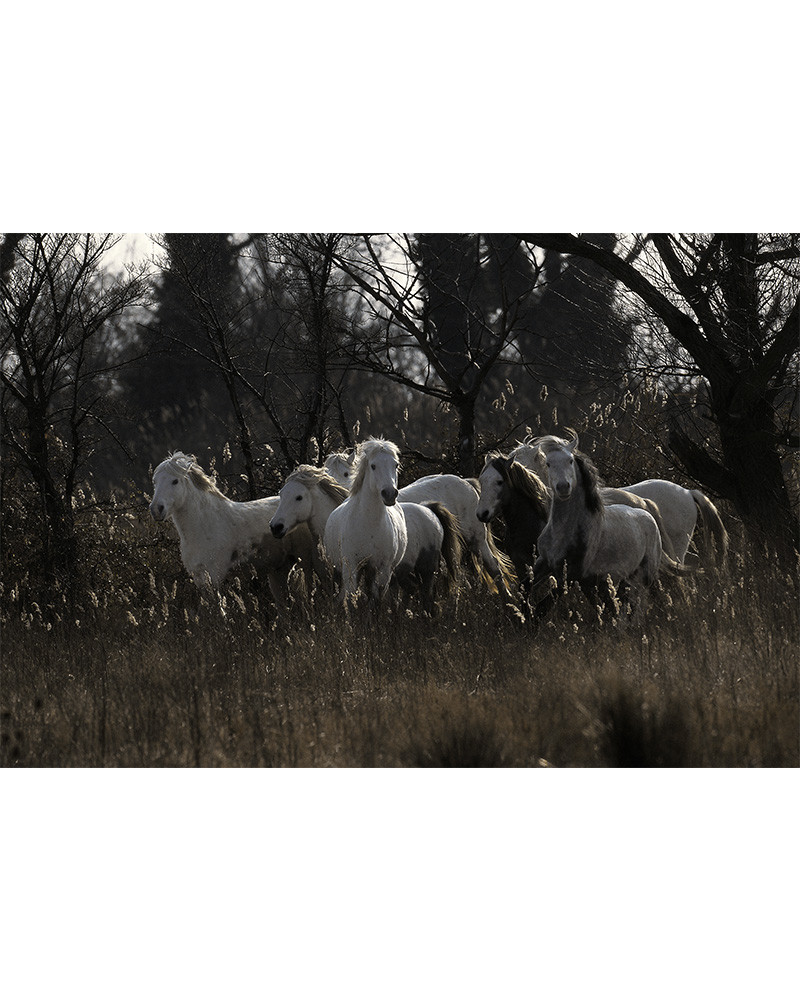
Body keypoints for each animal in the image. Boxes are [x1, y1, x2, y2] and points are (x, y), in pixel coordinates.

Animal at [150, 452, 316, 604]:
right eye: (155, 482)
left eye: (175, 481)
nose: (156, 509)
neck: (204, 526)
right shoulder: (199, 578)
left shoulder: (214, 576)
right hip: (278, 570)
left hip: (305, 561)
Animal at [320, 436, 410, 600]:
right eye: (373, 466)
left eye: (396, 464)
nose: (389, 494)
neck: (369, 523)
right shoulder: (351, 565)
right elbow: (351, 595)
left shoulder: (383, 569)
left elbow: (376, 598)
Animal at [326, 450, 520, 596]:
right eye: (325, 473)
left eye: (346, 473)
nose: (334, 487)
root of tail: (465, 481)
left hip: (477, 540)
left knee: (493, 567)